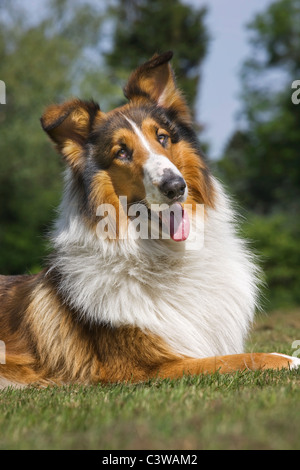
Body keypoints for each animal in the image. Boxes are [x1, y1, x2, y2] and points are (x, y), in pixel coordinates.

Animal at [0, 52, 298, 390]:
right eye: (122, 152)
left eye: (162, 137)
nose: (175, 186)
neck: (167, 256)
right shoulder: (146, 369)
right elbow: (242, 359)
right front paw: (289, 359)